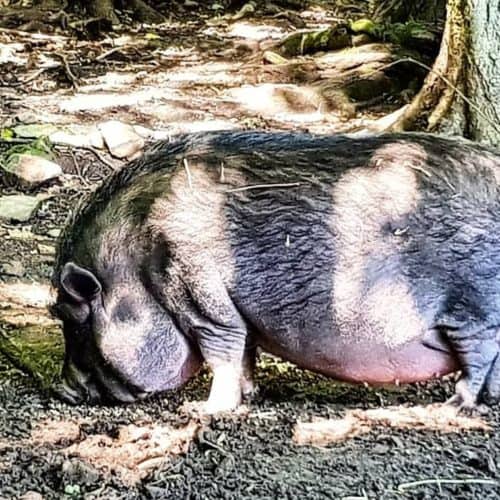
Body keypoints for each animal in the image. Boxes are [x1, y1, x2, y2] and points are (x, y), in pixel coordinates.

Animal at [51, 130, 500, 414]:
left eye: (71, 318)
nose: (61, 390)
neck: (137, 259)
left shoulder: (198, 293)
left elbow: (223, 352)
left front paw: (204, 410)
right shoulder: (238, 309)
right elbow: (246, 351)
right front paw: (251, 395)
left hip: (473, 308)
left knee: (478, 357)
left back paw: (453, 406)